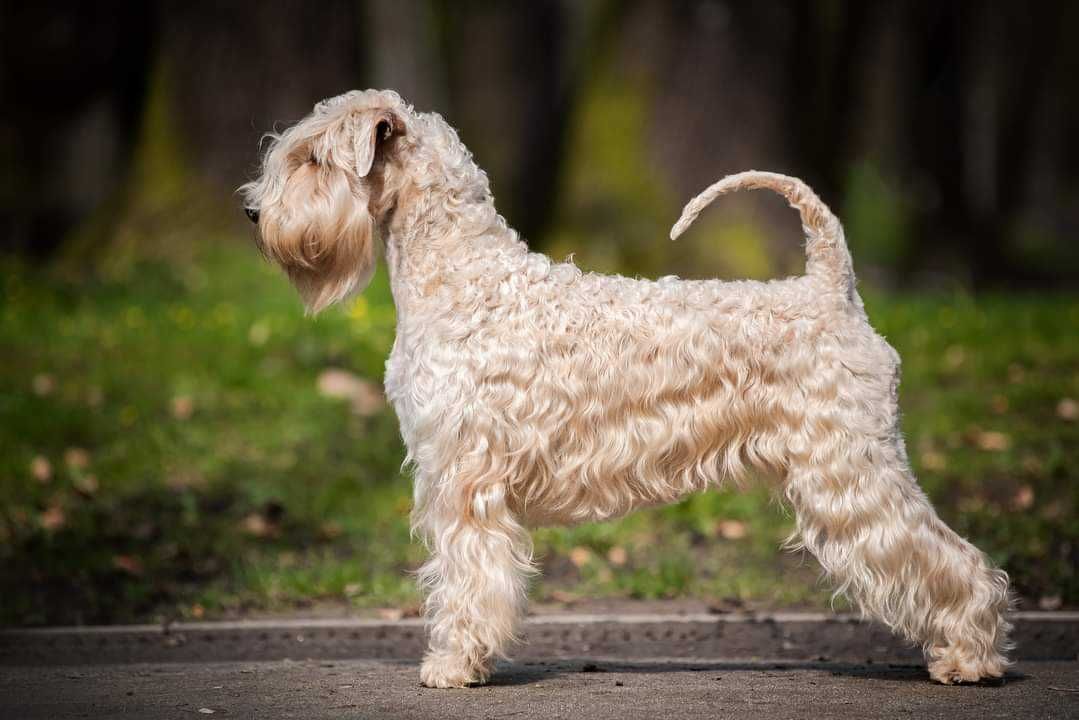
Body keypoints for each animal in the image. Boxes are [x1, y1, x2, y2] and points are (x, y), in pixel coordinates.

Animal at [240, 88, 1014, 686]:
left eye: (314, 157)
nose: (252, 213)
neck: (461, 276)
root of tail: (833, 288)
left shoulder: (463, 479)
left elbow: (466, 578)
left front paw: (452, 666)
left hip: (850, 471)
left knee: (950, 557)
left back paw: (969, 658)